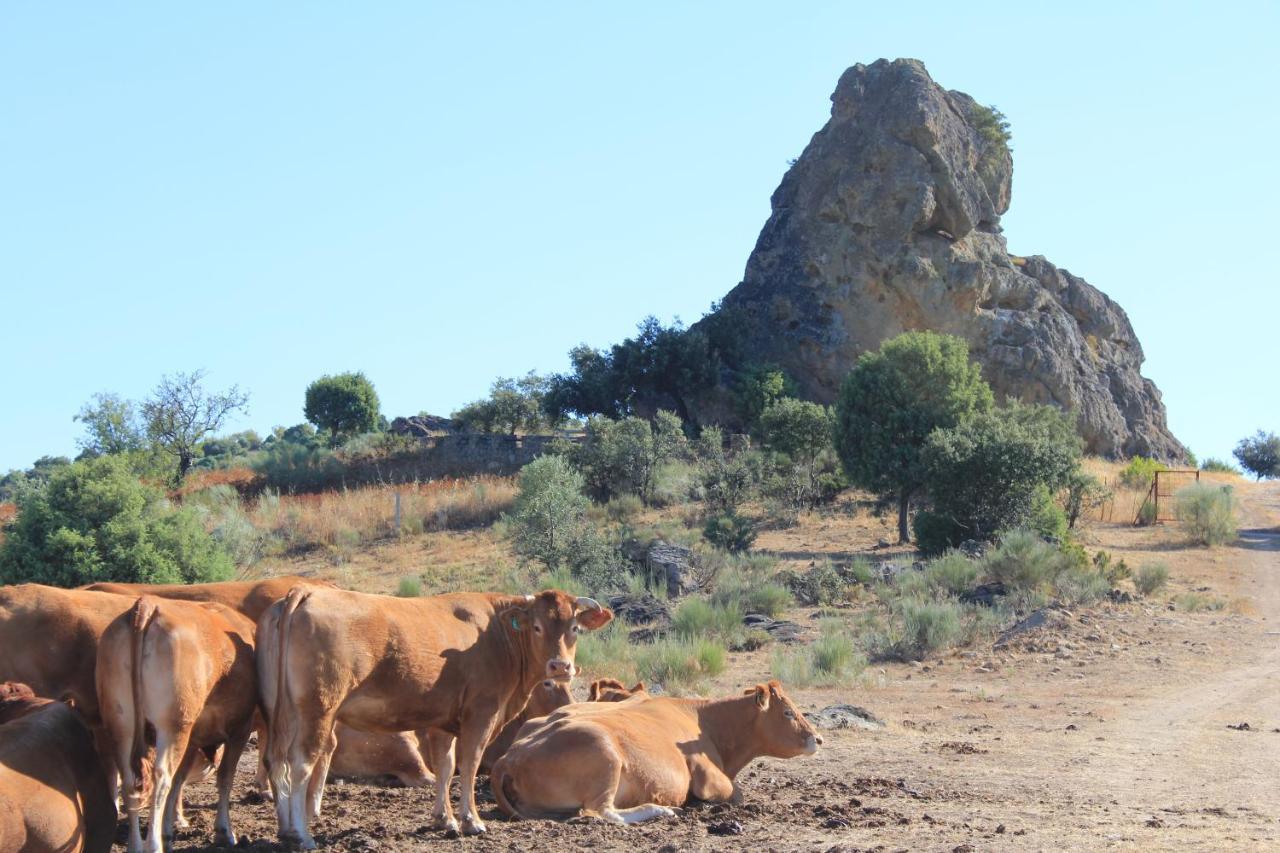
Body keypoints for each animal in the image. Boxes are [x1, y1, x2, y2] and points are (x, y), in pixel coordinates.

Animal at [96, 591, 257, 850]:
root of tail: (148, 603)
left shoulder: (194, 737)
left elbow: (180, 780)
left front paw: (169, 829)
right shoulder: (240, 728)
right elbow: (225, 777)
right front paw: (224, 831)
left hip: (122, 726)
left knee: (131, 781)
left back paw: (136, 845)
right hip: (173, 728)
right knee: (162, 778)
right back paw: (153, 845)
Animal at [257, 584, 611, 845]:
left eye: (575, 628)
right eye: (536, 627)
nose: (560, 666)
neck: (495, 635)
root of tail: (306, 591)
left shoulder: (443, 721)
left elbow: (446, 766)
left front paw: (445, 819)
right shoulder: (481, 713)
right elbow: (469, 764)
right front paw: (471, 821)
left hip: (280, 713)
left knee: (277, 761)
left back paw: (286, 829)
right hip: (317, 709)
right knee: (301, 764)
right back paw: (302, 835)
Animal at [488, 676, 819, 819]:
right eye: (788, 712)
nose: (818, 738)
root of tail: (511, 756)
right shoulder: (709, 776)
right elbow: (734, 793)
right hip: (604, 754)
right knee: (600, 812)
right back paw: (659, 810)